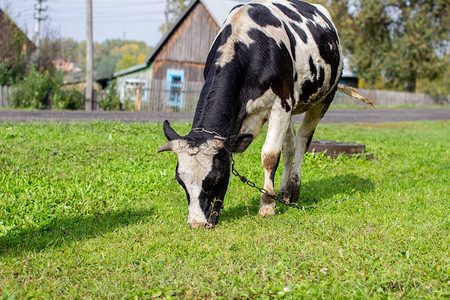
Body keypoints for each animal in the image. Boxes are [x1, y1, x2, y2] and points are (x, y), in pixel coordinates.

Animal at [159, 0, 372, 229]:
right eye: (180, 181)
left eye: (214, 179)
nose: (197, 224)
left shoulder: (281, 104)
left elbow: (270, 156)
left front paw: (267, 206)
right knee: (289, 146)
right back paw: (284, 192)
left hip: (324, 97)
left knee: (302, 140)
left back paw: (293, 189)